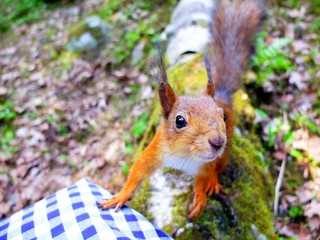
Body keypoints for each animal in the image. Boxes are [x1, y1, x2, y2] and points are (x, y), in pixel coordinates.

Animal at [100, 0, 262, 220]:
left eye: (222, 116)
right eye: (179, 121)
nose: (217, 142)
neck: (185, 156)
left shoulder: (205, 166)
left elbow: (203, 180)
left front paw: (200, 200)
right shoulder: (155, 151)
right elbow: (137, 171)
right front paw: (120, 196)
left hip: (225, 154)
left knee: (218, 168)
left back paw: (214, 182)